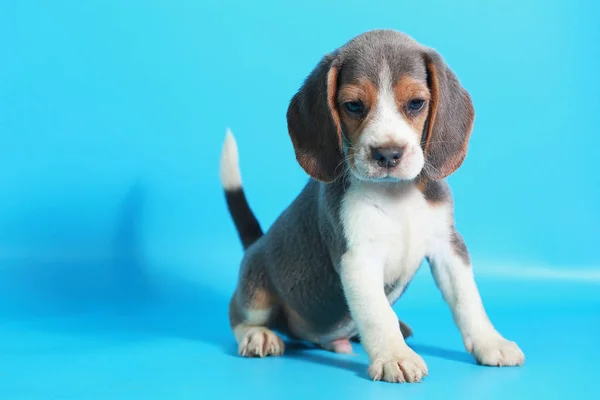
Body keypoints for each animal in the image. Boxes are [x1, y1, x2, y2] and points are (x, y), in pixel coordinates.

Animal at [218, 29, 524, 382]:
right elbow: (378, 313)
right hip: (256, 290)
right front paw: (394, 356)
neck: (396, 193)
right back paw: (258, 336)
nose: (388, 154)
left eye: (416, 103)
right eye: (353, 105)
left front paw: (491, 342)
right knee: (239, 316)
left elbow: (467, 300)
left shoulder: (448, 247)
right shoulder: (358, 257)